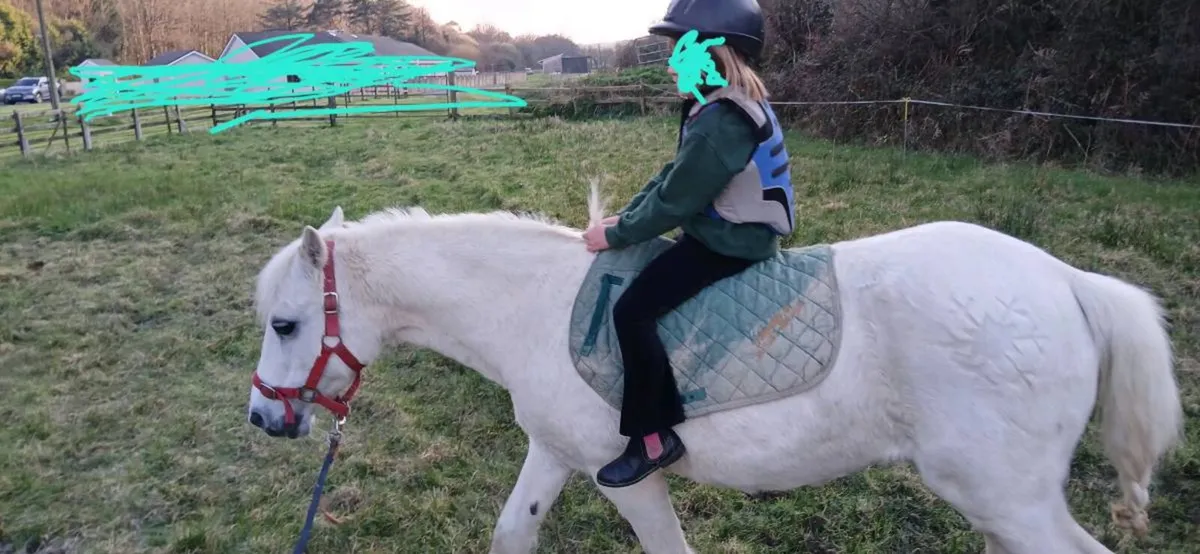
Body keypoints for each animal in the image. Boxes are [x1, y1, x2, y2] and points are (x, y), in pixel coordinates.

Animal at [245, 181, 1183, 554]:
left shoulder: (627, 477)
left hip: (1008, 498)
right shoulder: (553, 452)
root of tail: (1066, 280)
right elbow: (514, 533)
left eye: (286, 324)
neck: (532, 305)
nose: (264, 418)